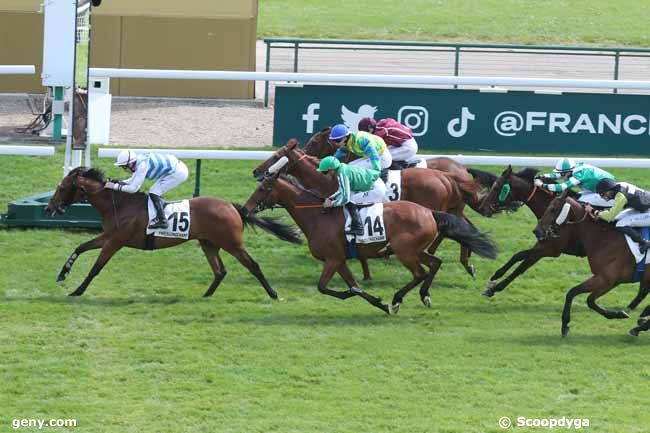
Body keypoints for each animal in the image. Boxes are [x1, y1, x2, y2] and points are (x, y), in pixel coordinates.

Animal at [43, 168, 302, 296]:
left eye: (62, 187)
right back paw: (206, 296)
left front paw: (78, 290)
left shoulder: (115, 241)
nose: (49, 208)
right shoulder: (108, 236)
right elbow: (80, 247)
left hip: (232, 244)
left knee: (253, 265)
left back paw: (273, 293)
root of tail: (232, 206)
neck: (119, 203)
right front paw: (63, 274)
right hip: (208, 243)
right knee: (220, 271)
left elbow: (96, 268)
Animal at [242, 169, 496, 314]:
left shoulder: (332, 259)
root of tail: (429, 212)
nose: (245, 209)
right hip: (415, 250)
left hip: (405, 252)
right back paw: (424, 295)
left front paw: (367, 299)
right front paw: (379, 303)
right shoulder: (340, 260)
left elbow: (325, 287)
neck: (317, 216)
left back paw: (398, 299)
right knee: (435, 263)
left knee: (420, 273)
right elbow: (354, 285)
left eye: (264, 188)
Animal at [253, 140, 486, 278]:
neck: (327, 180)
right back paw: (466, 262)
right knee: (463, 228)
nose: (257, 171)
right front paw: (366, 271)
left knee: (448, 231)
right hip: (453, 208)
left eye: (275, 157)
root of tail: (448, 176)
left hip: (436, 208)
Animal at [532, 191, 644, 336]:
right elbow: (573, 293)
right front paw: (565, 325)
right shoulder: (610, 280)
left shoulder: (606, 279)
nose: (537, 231)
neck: (604, 238)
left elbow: (587, 299)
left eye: (552, 209)